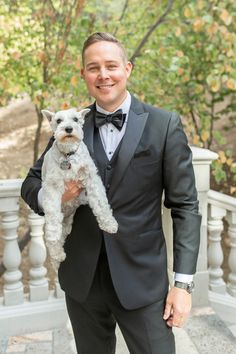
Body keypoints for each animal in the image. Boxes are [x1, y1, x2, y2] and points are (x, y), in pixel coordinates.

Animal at [41, 107, 119, 268]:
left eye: (76, 119)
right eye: (58, 120)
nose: (68, 128)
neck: (68, 154)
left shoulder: (91, 178)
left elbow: (101, 204)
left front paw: (109, 224)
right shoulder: (52, 186)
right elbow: (52, 216)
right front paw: (53, 236)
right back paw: (57, 255)